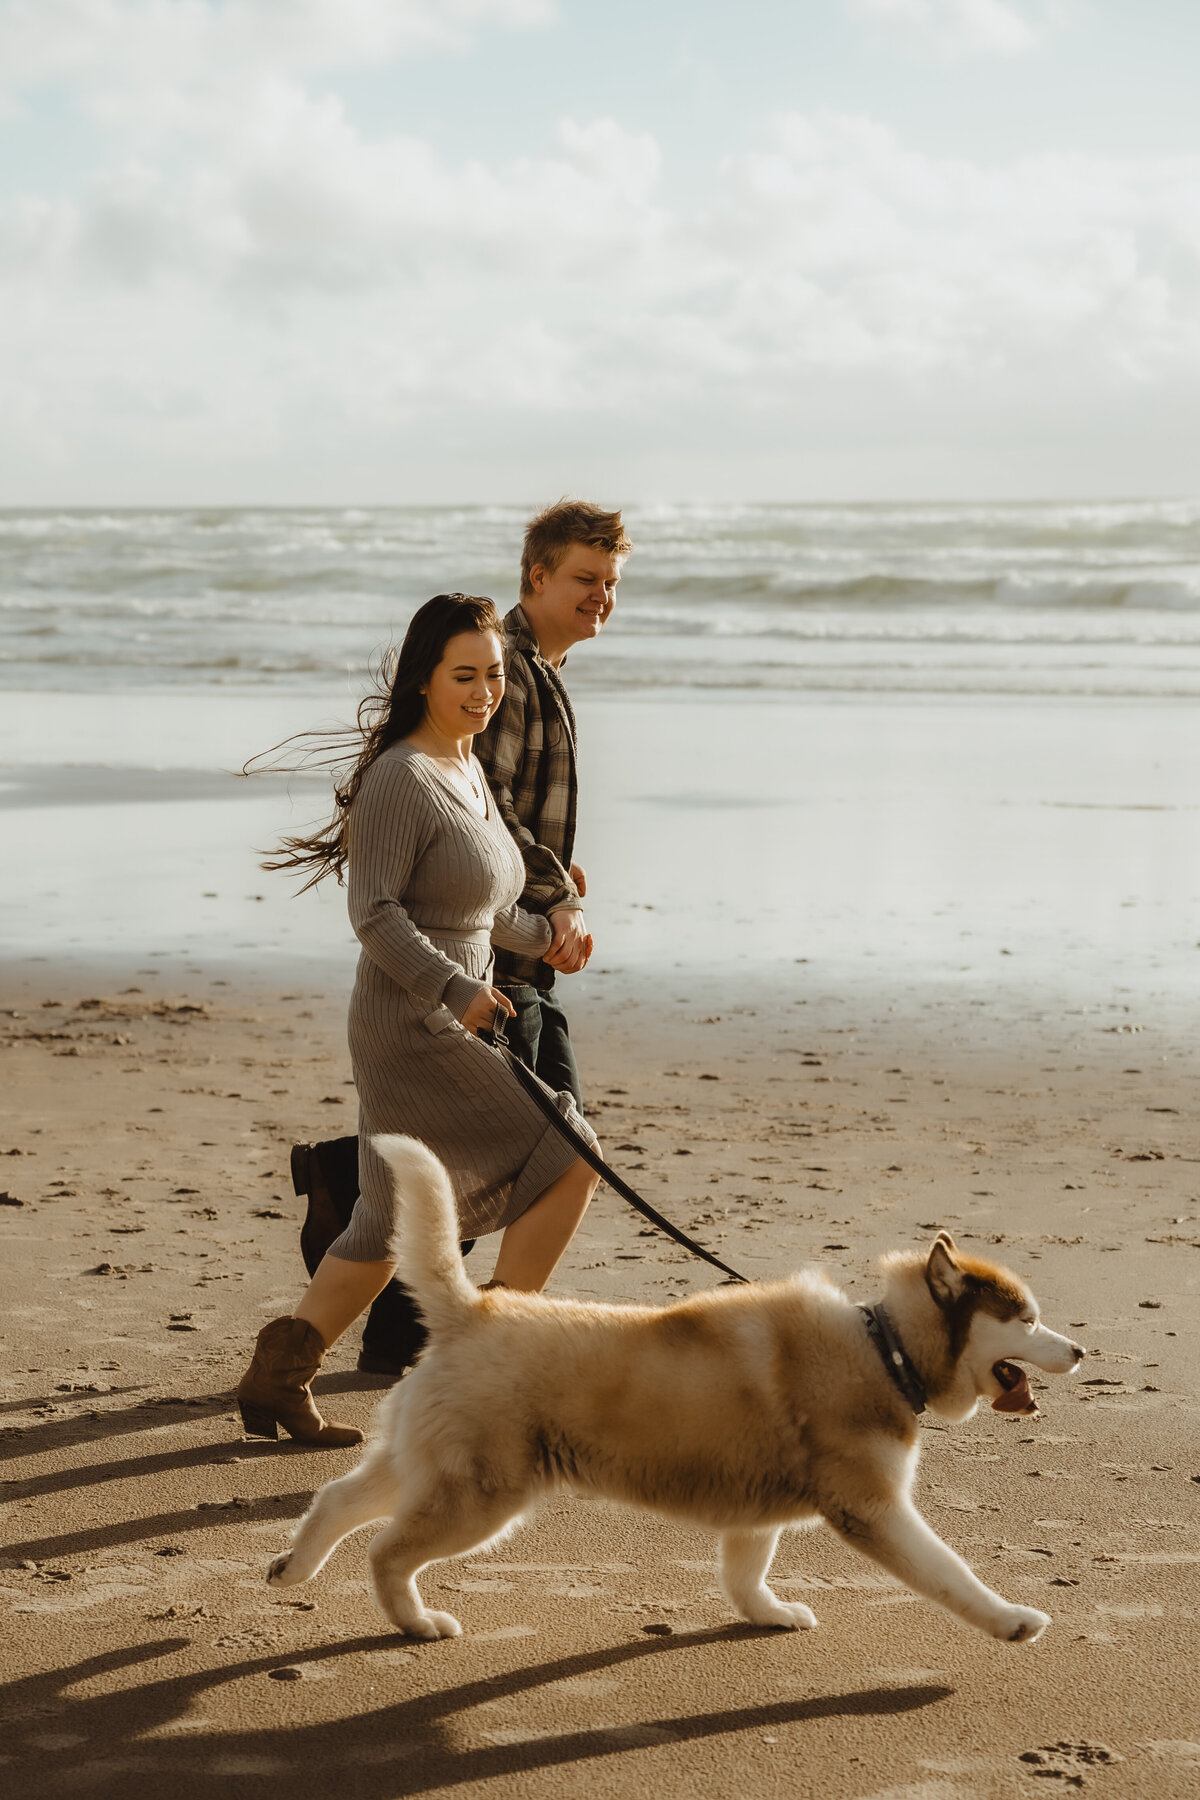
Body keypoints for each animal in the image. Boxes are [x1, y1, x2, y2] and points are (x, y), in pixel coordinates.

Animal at [269, 1137, 1086, 1648]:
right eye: (1026, 1318)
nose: (1079, 1351)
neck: (884, 1350)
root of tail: (476, 1308)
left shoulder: (762, 1510)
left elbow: (745, 1572)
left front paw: (767, 1613)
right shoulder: (872, 1509)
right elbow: (949, 1573)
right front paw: (1011, 1620)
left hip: (432, 1463)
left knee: (338, 1496)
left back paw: (294, 1567)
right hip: (483, 1495)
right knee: (386, 1549)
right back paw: (415, 1622)